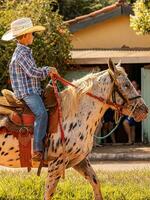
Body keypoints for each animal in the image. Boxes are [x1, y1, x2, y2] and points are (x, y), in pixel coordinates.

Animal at [0, 58, 148, 199]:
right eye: (126, 85)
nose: (144, 110)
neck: (74, 114)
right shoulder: (56, 165)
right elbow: (48, 194)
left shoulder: (80, 160)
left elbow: (96, 183)